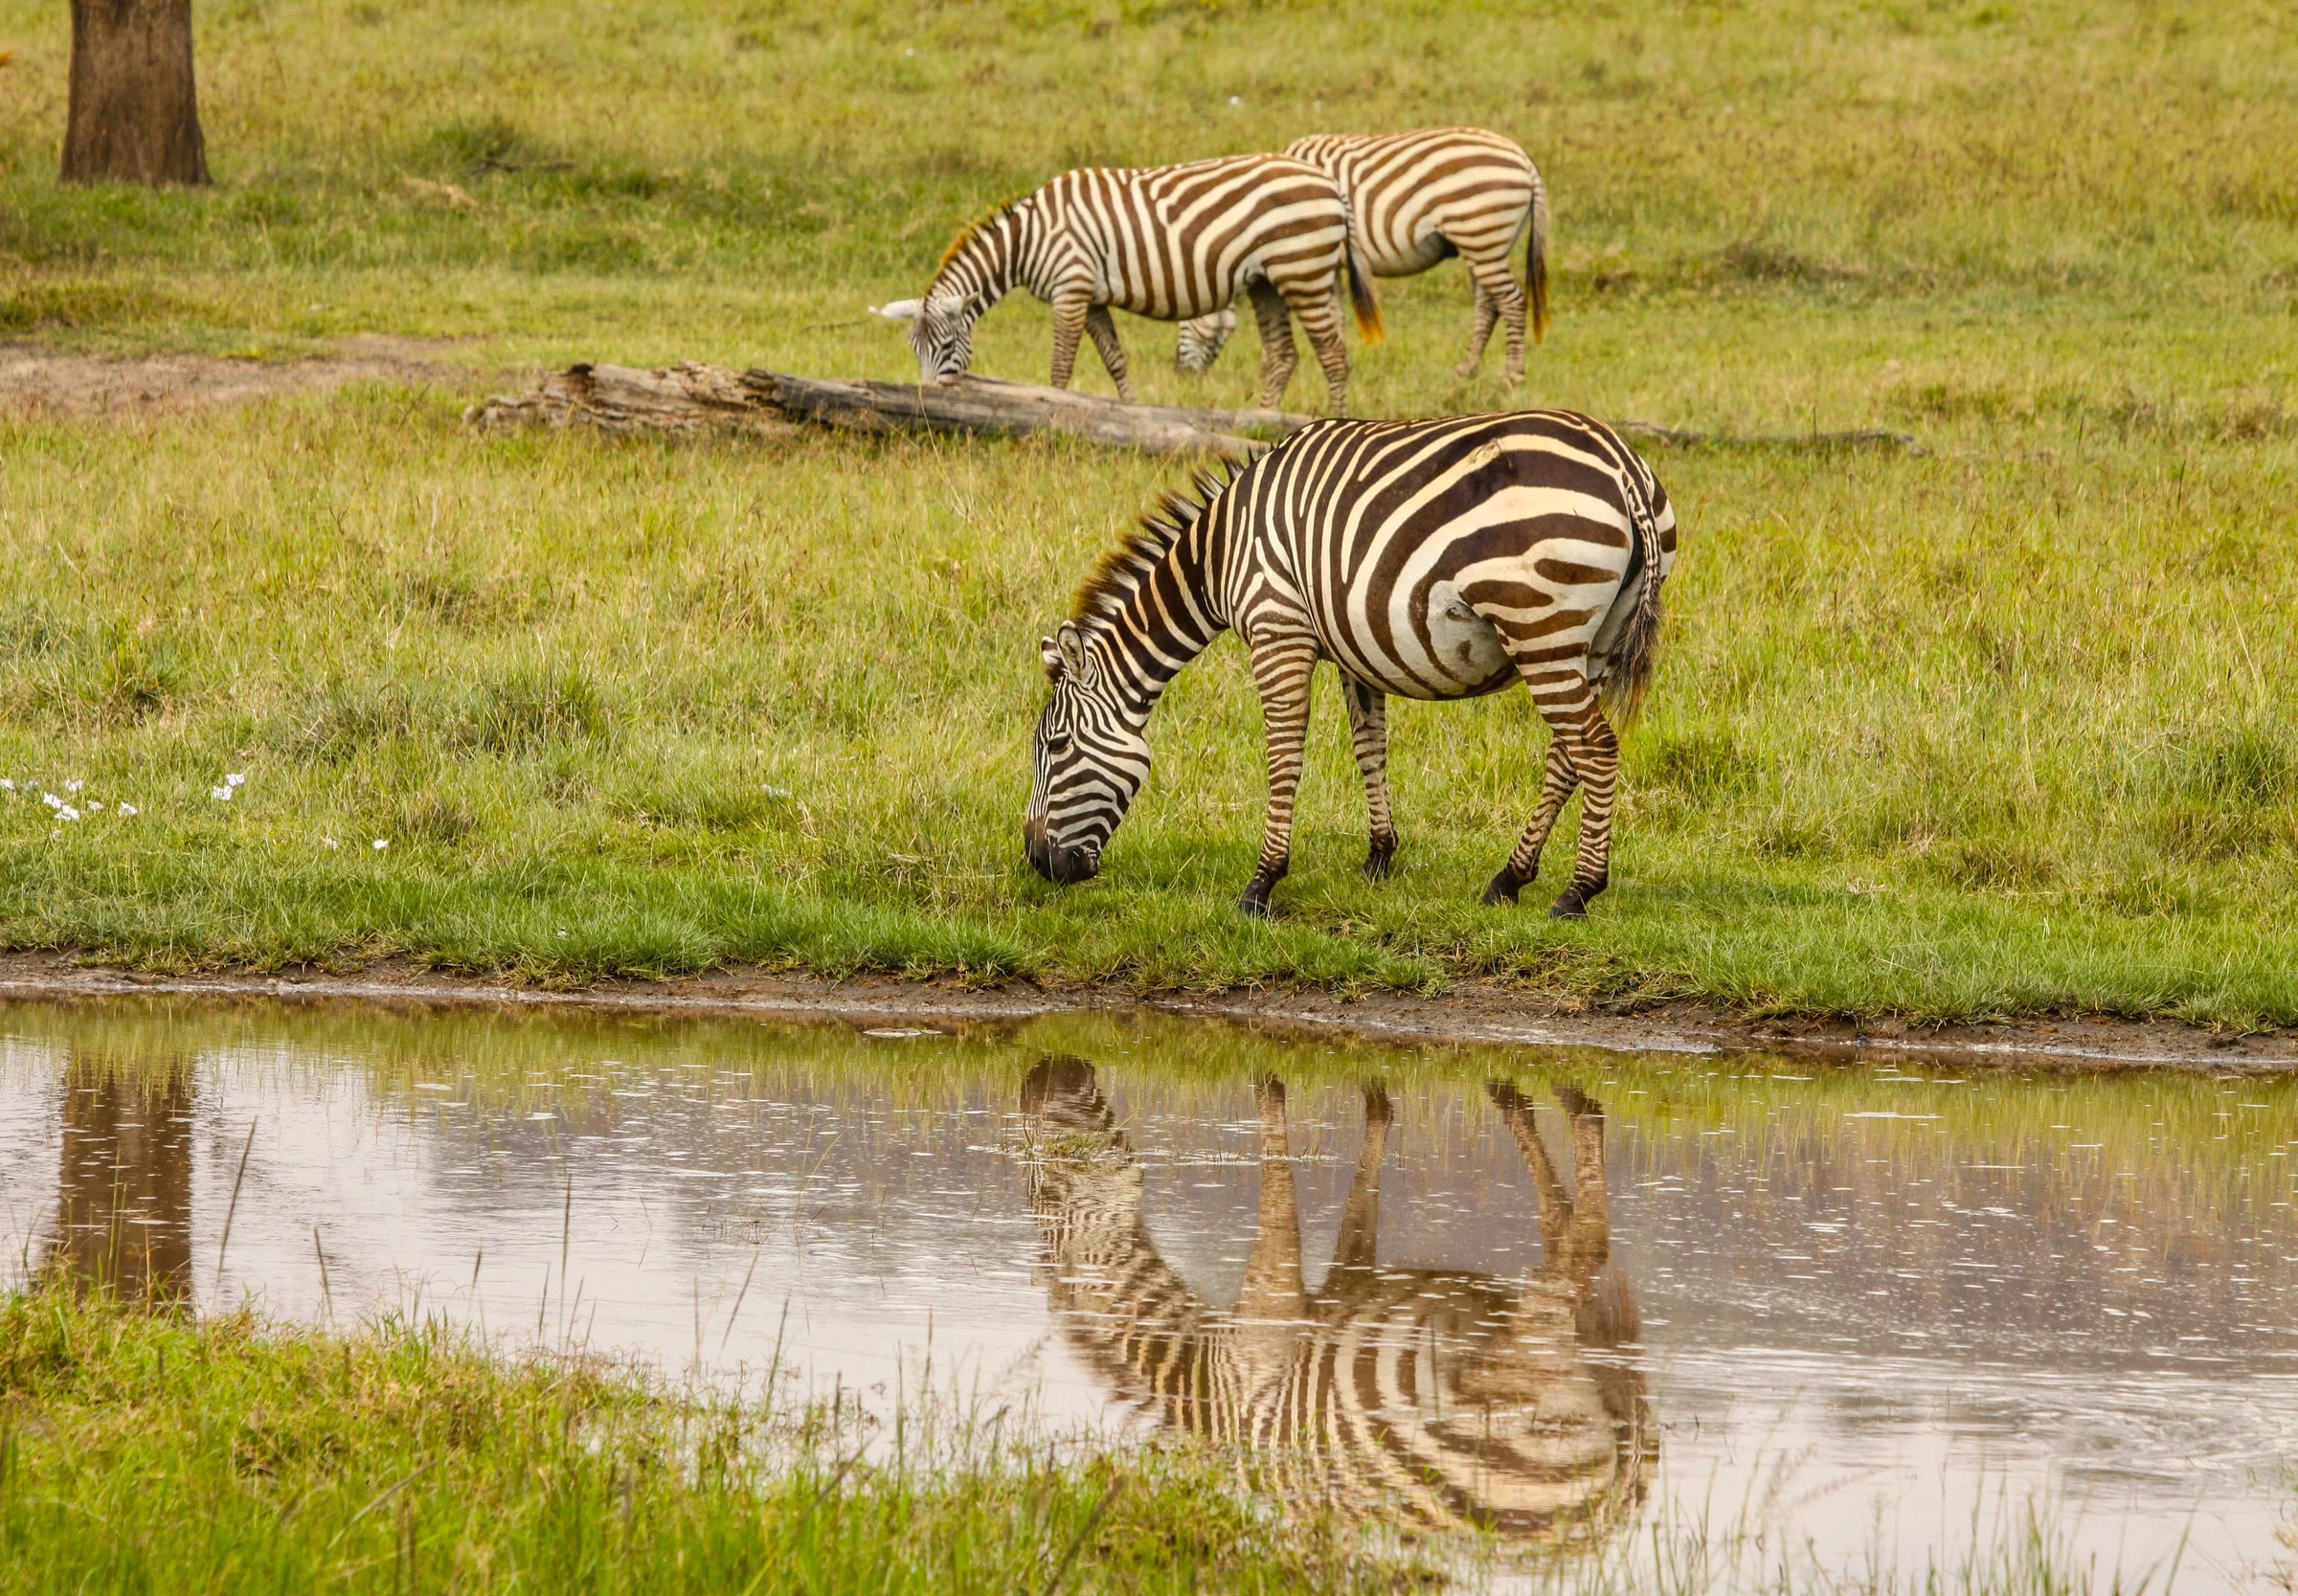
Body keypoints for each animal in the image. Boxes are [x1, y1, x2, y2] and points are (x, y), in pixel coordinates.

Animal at [909, 154, 1384, 413]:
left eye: (947, 346)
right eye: (914, 351)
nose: (926, 404)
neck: (1028, 239)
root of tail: (1330, 182)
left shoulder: (1071, 287)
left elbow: (1060, 366)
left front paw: (1050, 409)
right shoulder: (1091, 297)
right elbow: (1115, 359)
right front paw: (1131, 413)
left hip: (1301, 269)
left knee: (1333, 355)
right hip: (1271, 280)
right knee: (1287, 355)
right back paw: (1267, 420)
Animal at [1018, 1057, 1653, 1539]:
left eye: (1043, 1192)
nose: (1032, 1078)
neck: (1203, 1381)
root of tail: (1610, 1497)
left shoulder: (1267, 1315)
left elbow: (1274, 1161)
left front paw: (1270, 1084)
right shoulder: (1345, 1285)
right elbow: (1362, 1187)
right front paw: (1376, 1096)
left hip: (1520, 1373)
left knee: (1584, 1250)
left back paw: (1575, 1108)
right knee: (1569, 1243)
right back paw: (1530, 1106)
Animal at [1023, 410, 1675, 919]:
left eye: (1054, 746)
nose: (1037, 862)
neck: (1219, 554)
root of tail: (1622, 464)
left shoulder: (1277, 627)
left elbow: (1284, 756)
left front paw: (1261, 884)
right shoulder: (1352, 644)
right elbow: (1370, 745)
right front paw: (1380, 856)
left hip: (1539, 626)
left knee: (1595, 748)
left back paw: (1577, 893)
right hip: (1591, 640)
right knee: (1568, 755)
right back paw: (1509, 880)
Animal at [1177, 128, 1550, 384]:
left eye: (1185, 322)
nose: (1180, 375)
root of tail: (1524, 159)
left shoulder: (1307, 258)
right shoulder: (1328, 264)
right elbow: (1336, 317)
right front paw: (1342, 365)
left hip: (1480, 232)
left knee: (1512, 301)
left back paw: (1512, 375)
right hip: (1483, 243)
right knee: (1489, 305)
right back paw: (1467, 370)